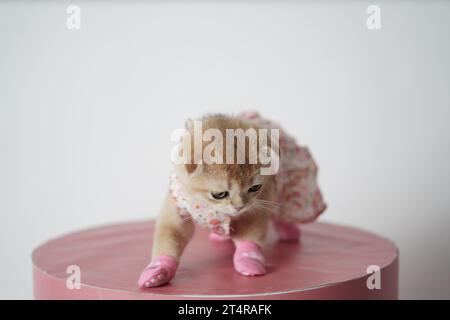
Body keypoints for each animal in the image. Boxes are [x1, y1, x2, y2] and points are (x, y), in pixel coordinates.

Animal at [137, 112, 326, 288]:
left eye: (254, 188)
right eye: (219, 194)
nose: (240, 206)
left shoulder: (255, 209)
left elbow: (249, 239)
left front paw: (249, 260)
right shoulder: (176, 209)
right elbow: (168, 238)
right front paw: (158, 270)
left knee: (282, 211)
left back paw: (288, 231)